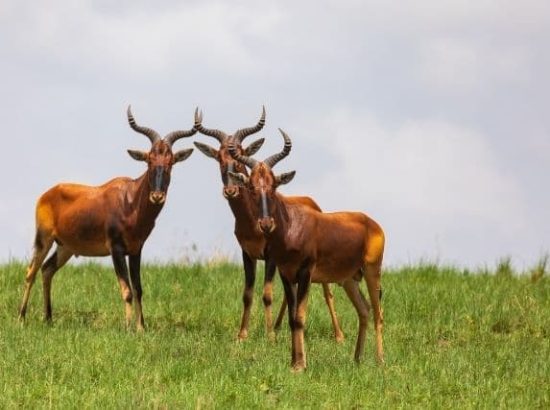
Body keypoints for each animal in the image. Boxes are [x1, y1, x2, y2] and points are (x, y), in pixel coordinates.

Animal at [18, 105, 197, 330]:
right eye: (149, 159)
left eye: (170, 161)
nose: (157, 196)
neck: (130, 200)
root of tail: (47, 193)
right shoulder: (116, 249)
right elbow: (127, 290)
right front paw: (128, 329)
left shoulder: (136, 250)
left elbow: (138, 289)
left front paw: (141, 328)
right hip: (44, 238)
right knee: (30, 272)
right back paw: (21, 318)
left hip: (66, 247)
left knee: (47, 269)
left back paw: (49, 319)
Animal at [192, 107, 342, 342]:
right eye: (219, 158)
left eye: (238, 157)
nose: (230, 191)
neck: (252, 218)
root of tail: (312, 203)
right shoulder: (248, 254)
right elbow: (248, 294)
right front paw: (242, 335)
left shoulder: (270, 256)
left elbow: (267, 294)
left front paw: (270, 336)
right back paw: (283, 326)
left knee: (328, 292)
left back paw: (338, 336)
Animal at [229, 130, 384, 370]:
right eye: (252, 187)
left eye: (274, 185)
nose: (266, 224)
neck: (293, 224)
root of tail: (372, 223)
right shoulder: (286, 275)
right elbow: (292, 318)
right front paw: (294, 362)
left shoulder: (305, 273)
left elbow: (300, 316)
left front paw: (300, 365)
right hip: (349, 279)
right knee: (364, 310)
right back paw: (357, 358)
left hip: (372, 271)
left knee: (378, 312)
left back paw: (380, 361)